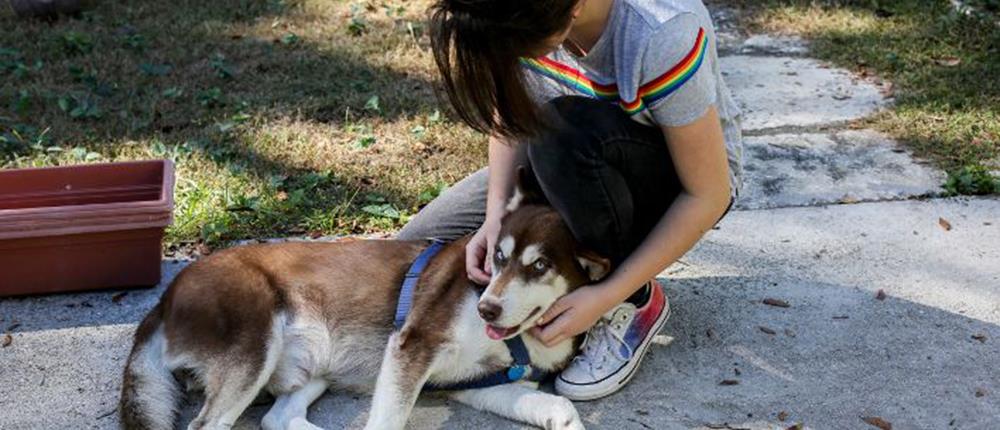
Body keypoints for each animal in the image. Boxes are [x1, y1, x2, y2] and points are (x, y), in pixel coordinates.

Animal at [121, 170, 612, 430]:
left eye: (539, 265)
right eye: (498, 257)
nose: (485, 308)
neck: (524, 339)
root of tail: (163, 301)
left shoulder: (475, 383)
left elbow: (556, 403)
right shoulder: (411, 347)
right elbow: (389, 419)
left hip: (314, 367)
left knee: (279, 418)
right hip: (254, 345)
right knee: (212, 425)